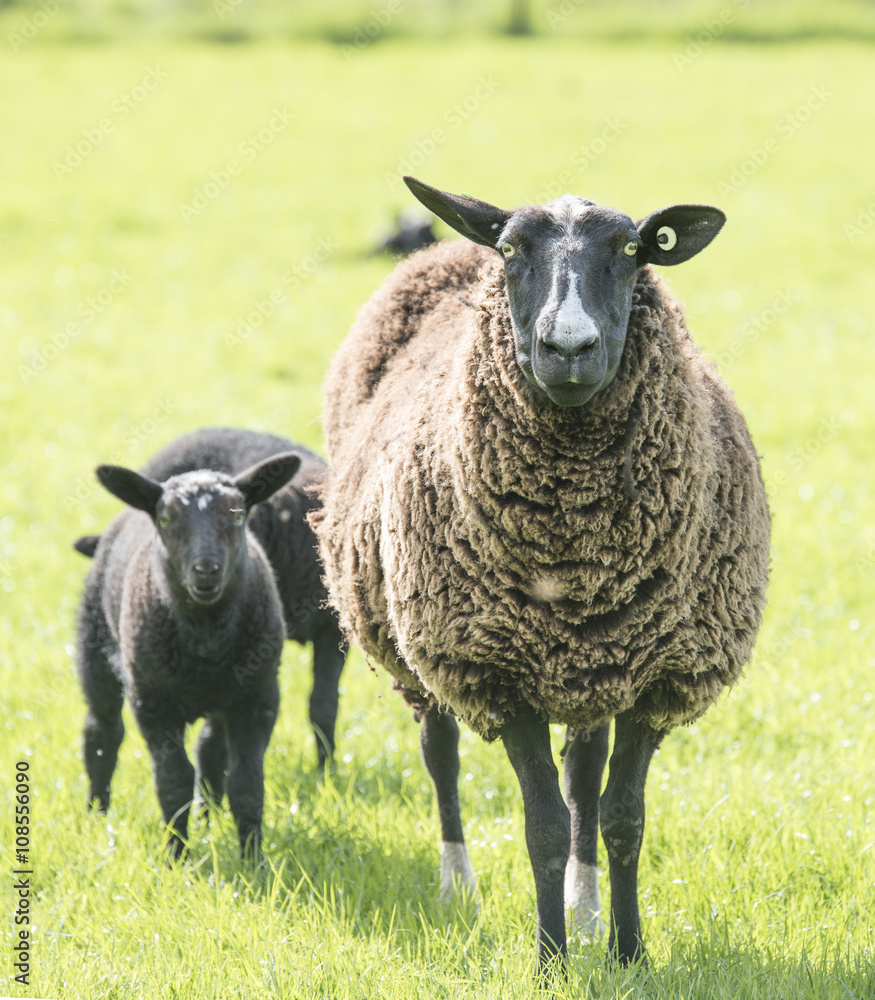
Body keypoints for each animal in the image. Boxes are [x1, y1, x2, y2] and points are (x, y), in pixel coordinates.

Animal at [77, 452, 300, 859]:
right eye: (166, 521)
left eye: (238, 516)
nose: (206, 570)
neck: (206, 637)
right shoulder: (152, 703)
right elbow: (174, 781)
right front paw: (176, 858)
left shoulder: (259, 698)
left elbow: (246, 783)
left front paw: (254, 859)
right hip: (96, 646)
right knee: (102, 734)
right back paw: (97, 815)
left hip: (226, 692)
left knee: (209, 747)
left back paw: (209, 816)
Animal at [312, 176, 770, 971]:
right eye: (509, 250)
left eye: (632, 249)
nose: (568, 347)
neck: (575, 547)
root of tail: (443, 248)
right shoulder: (496, 673)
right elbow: (542, 826)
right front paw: (550, 959)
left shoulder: (659, 675)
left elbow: (620, 817)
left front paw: (626, 951)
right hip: (418, 644)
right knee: (440, 757)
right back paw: (458, 885)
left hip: (595, 663)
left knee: (584, 774)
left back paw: (585, 910)